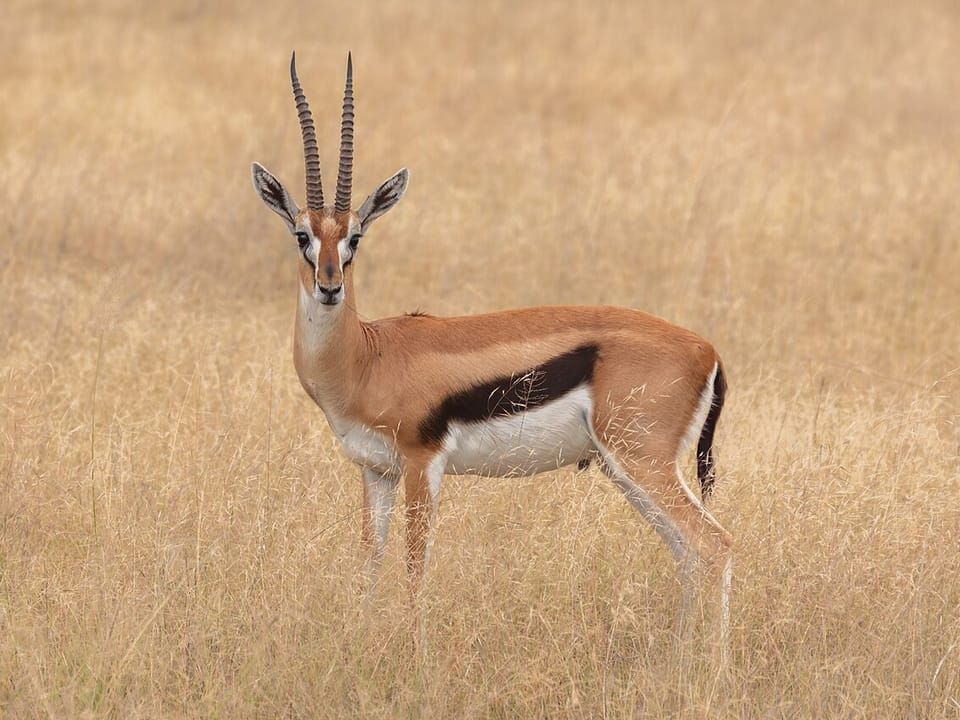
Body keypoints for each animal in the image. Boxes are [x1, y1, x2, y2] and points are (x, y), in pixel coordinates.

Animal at [251, 53, 733, 639]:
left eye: (355, 238)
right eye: (302, 235)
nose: (329, 286)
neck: (367, 357)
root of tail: (708, 351)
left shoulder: (422, 464)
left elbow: (414, 569)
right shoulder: (375, 471)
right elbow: (369, 562)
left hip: (642, 462)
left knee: (716, 545)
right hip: (629, 472)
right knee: (687, 554)